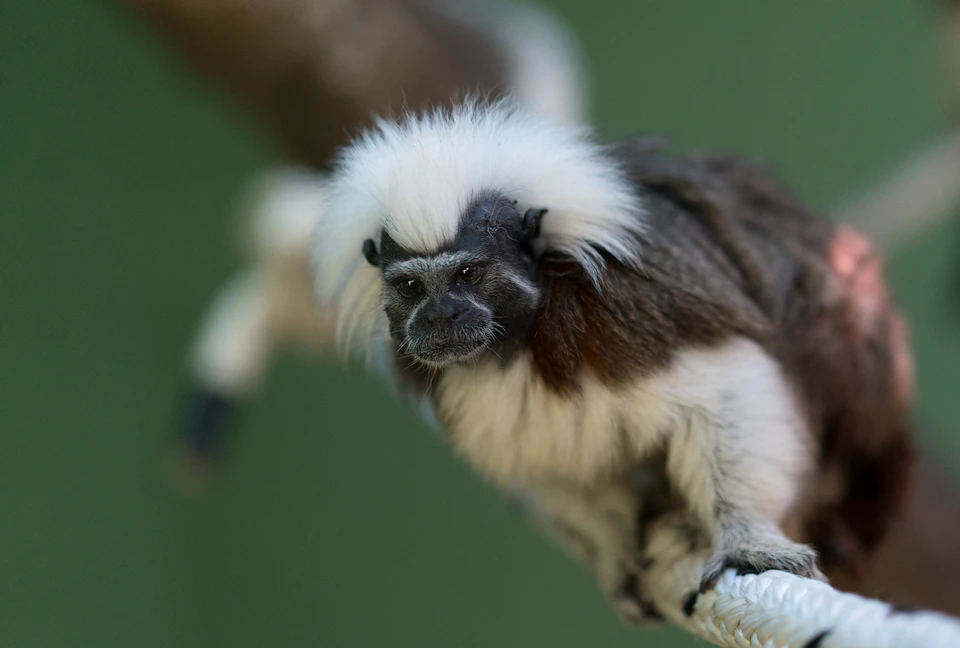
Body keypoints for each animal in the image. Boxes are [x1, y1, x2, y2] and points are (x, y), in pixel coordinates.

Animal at [310, 99, 916, 623]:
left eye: (468, 274)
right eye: (411, 286)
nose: (442, 318)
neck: (524, 336)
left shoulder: (636, 306)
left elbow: (730, 382)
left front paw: (747, 535)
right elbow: (547, 467)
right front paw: (615, 547)